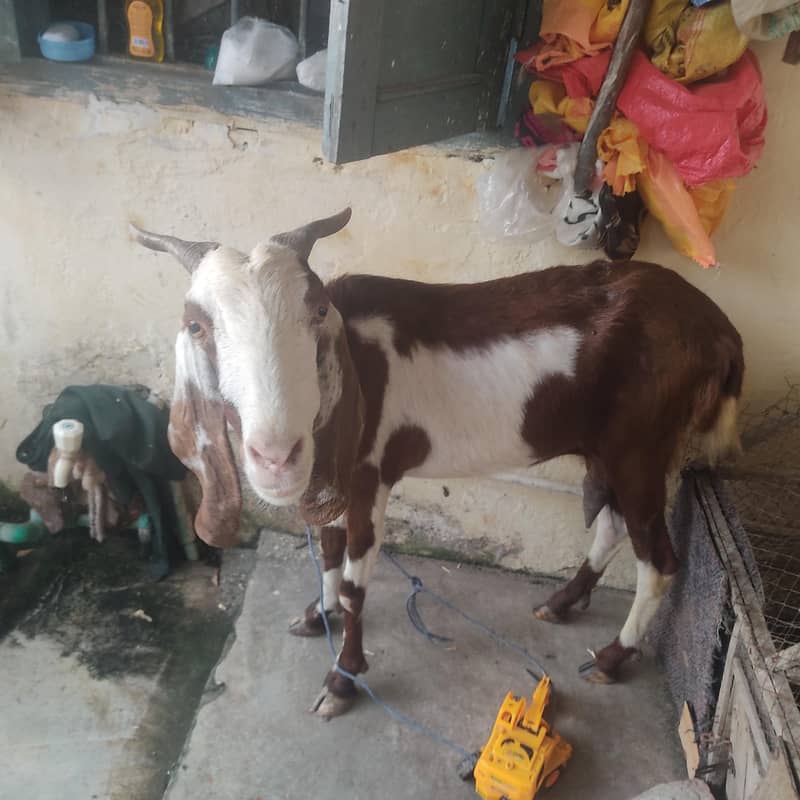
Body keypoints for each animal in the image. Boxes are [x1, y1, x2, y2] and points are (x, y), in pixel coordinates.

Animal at [131, 209, 743, 719]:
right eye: (196, 326)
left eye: (317, 312)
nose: (276, 456)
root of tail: (718, 328)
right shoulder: (332, 475)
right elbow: (327, 550)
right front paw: (317, 615)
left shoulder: (368, 474)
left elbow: (353, 581)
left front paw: (342, 680)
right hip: (607, 447)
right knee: (615, 525)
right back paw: (562, 603)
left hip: (642, 445)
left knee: (658, 559)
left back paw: (613, 657)